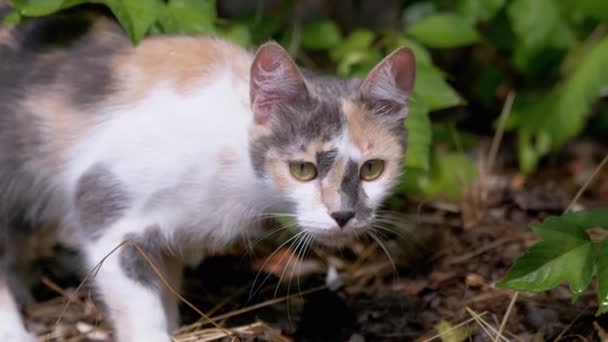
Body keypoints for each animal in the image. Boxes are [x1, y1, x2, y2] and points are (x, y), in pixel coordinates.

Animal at [0, 5, 414, 342]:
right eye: (303, 169)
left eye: (373, 169)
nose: (343, 215)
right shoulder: (106, 204)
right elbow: (137, 298)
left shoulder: (167, 238)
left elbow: (165, 288)